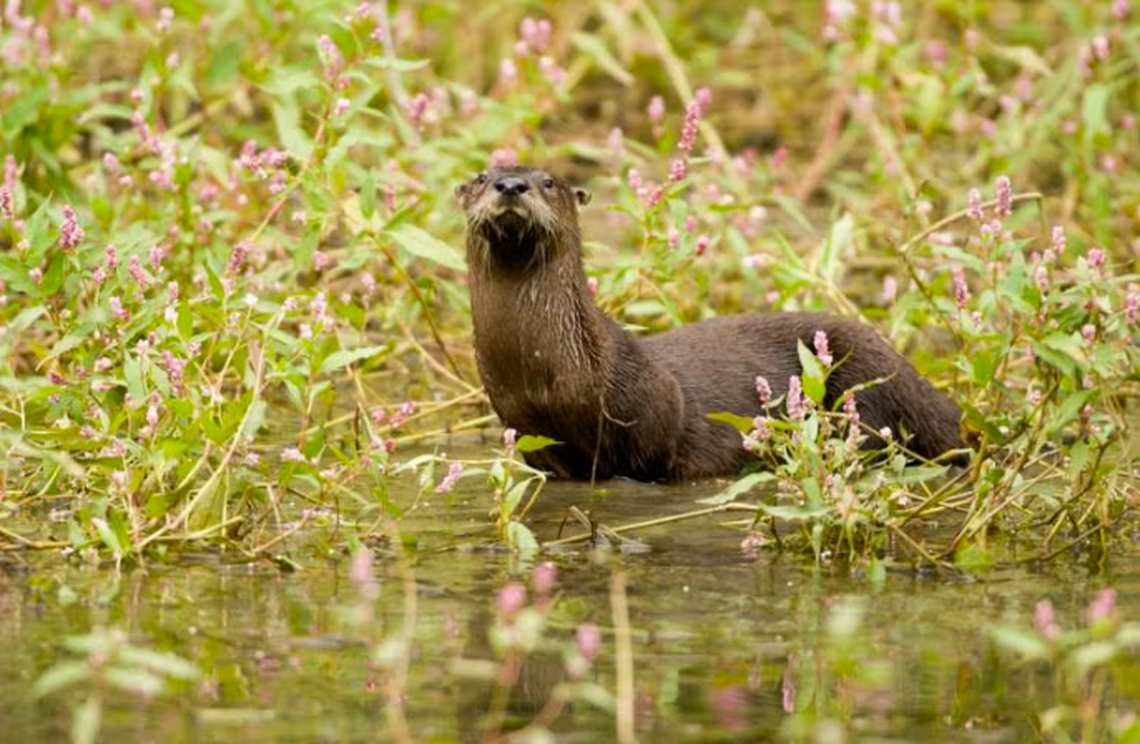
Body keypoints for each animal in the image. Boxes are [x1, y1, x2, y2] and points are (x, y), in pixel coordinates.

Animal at [457, 165, 963, 481]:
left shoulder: (653, 407)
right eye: (483, 177)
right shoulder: (526, 428)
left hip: (866, 385)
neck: (545, 374)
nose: (511, 185)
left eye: (547, 182)